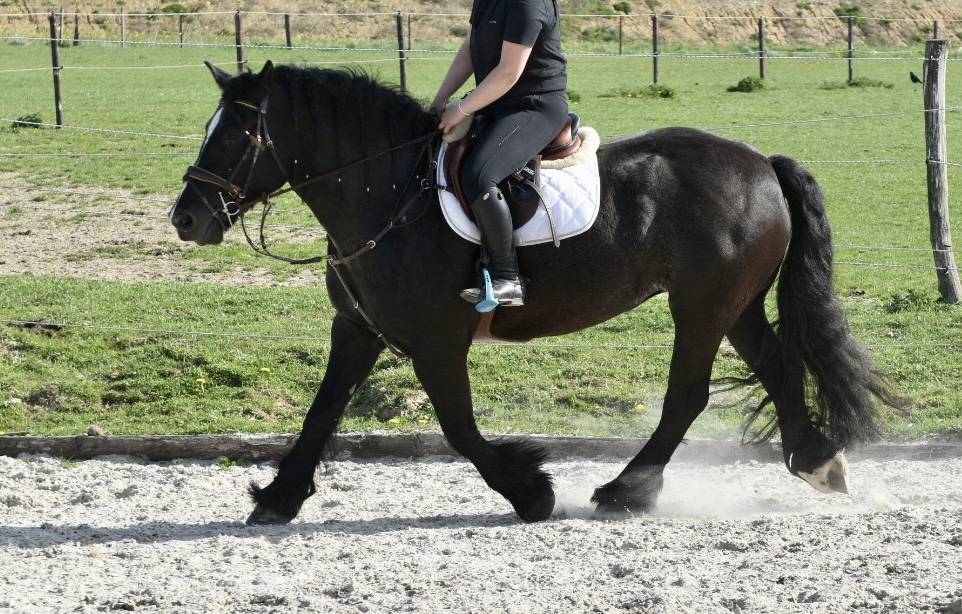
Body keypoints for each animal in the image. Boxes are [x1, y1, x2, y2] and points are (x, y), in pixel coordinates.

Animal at [169, 61, 905, 524]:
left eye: (238, 134)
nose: (187, 219)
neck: (388, 192)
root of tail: (760, 164)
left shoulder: (436, 342)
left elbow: (460, 428)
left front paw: (530, 491)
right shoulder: (356, 329)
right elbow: (321, 412)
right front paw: (278, 499)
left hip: (701, 306)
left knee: (688, 396)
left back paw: (626, 490)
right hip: (734, 306)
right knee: (778, 367)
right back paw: (817, 462)